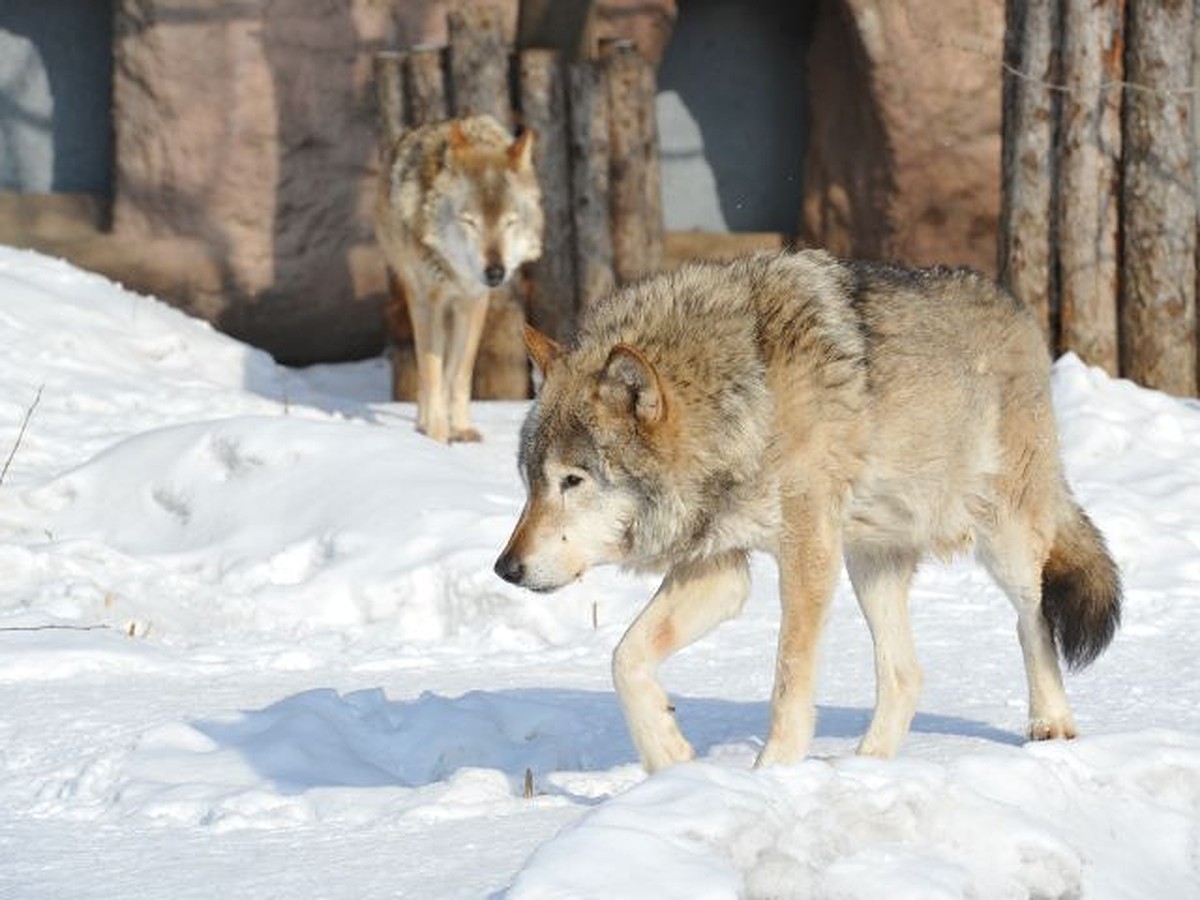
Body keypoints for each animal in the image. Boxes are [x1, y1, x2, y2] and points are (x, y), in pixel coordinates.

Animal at [374, 114, 544, 446]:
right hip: (418, 298)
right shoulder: (432, 301)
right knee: (425, 368)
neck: (456, 273)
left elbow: (460, 372)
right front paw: (437, 435)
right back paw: (423, 422)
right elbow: (432, 369)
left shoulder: (473, 301)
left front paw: (461, 428)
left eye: (510, 221)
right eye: (469, 221)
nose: (495, 272)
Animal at [492, 250, 1118, 772]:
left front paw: (772, 775)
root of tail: (1019, 311)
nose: (505, 569)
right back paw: (865, 769)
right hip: (871, 563)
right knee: (905, 674)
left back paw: (1051, 725)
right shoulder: (719, 569)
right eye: (531, 482)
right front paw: (671, 760)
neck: (744, 397)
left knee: (1033, 619)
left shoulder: (807, 553)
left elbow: (788, 678)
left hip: (1003, 540)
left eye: (573, 480)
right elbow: (624, 659)